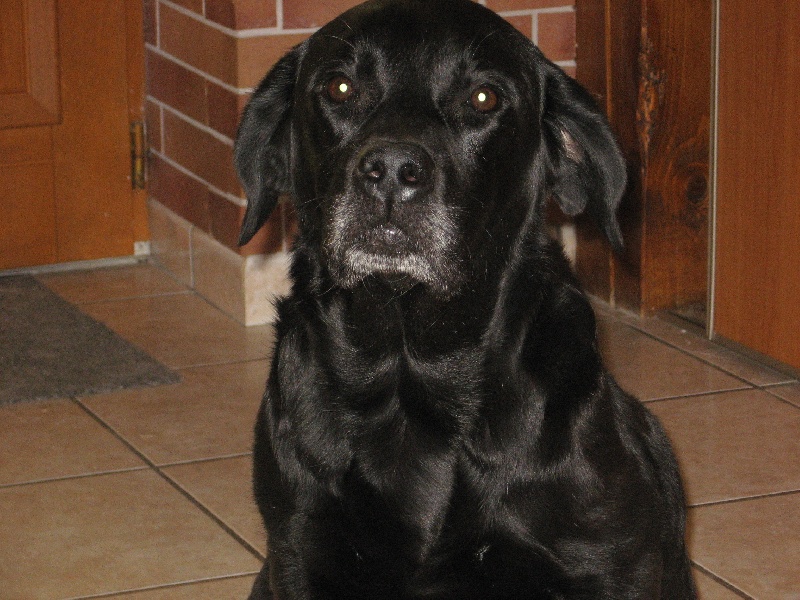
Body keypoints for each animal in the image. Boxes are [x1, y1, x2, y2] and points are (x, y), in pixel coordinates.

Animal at [236, 2, 692, 596]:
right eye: (339, 87)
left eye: (483, 98)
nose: (392, 171)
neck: (410, 380)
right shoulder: (299, 549)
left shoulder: (610, 562)